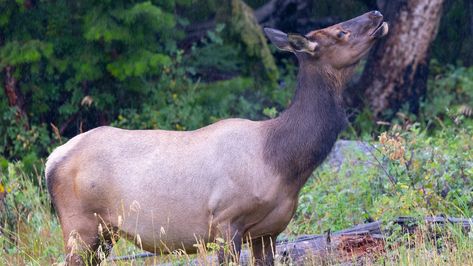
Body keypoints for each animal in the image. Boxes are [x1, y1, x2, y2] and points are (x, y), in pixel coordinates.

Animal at [45, 10, 388, 266]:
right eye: (340, 32)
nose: (376, 13)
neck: (283, 163)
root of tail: (51, 160)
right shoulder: (225, 221)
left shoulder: (270, 231)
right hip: (79, 226)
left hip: (104, 233)